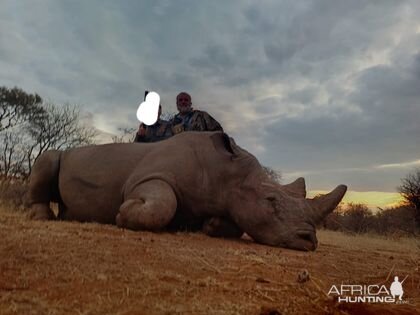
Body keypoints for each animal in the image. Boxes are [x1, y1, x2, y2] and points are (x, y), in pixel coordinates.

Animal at [27, 131, 348, 252]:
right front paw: (123, 213)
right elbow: (160, 203)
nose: (309, 241)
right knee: (48, 159)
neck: (228, 173)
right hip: (60, 155)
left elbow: (231, 223)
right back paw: (42, 218)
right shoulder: (148, 177)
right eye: (270, 201)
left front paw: (211, 225)